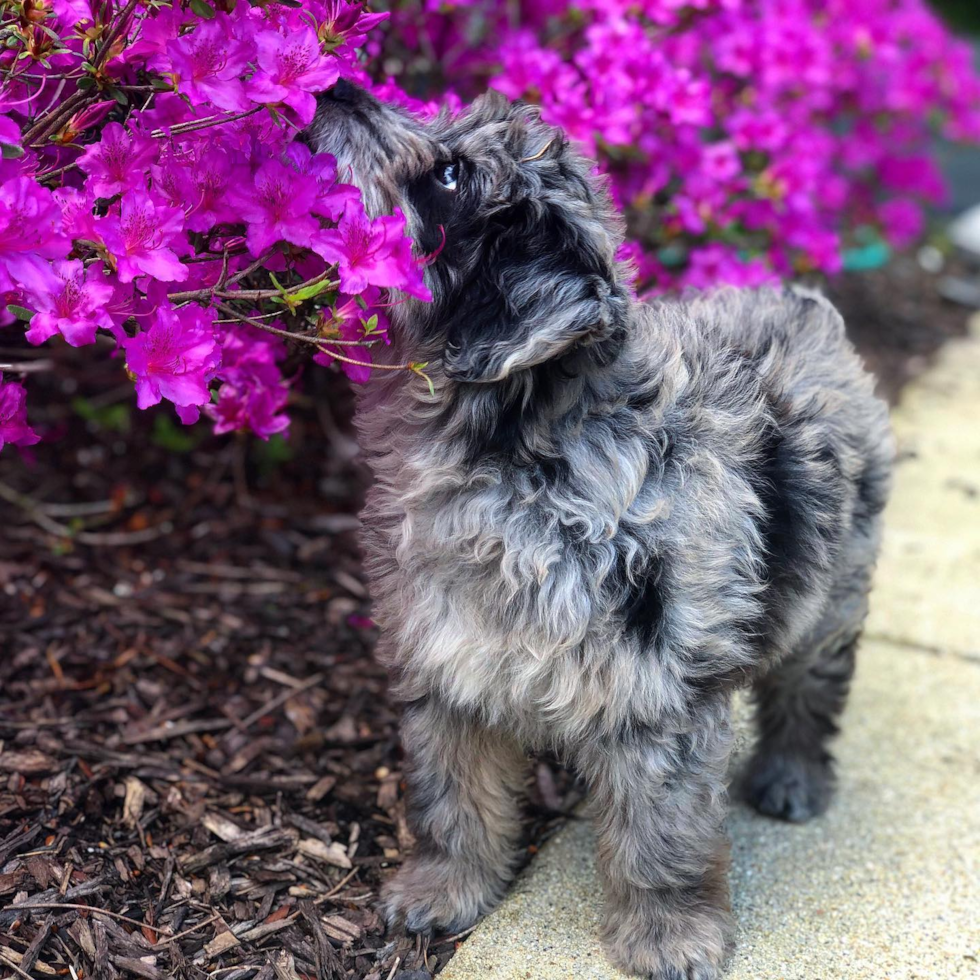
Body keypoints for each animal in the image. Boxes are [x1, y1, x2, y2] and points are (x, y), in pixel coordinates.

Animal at [306, 80, 896, 976]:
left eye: (449, 176)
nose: (335, 88)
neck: (518, 456)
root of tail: (795, 302)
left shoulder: (661, 694)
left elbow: (663, 834)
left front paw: (669, 933)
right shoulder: (448, 662)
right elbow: (453, 796)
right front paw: (446, 890)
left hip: (834, 582)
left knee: (810, 680)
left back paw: (791, 777)